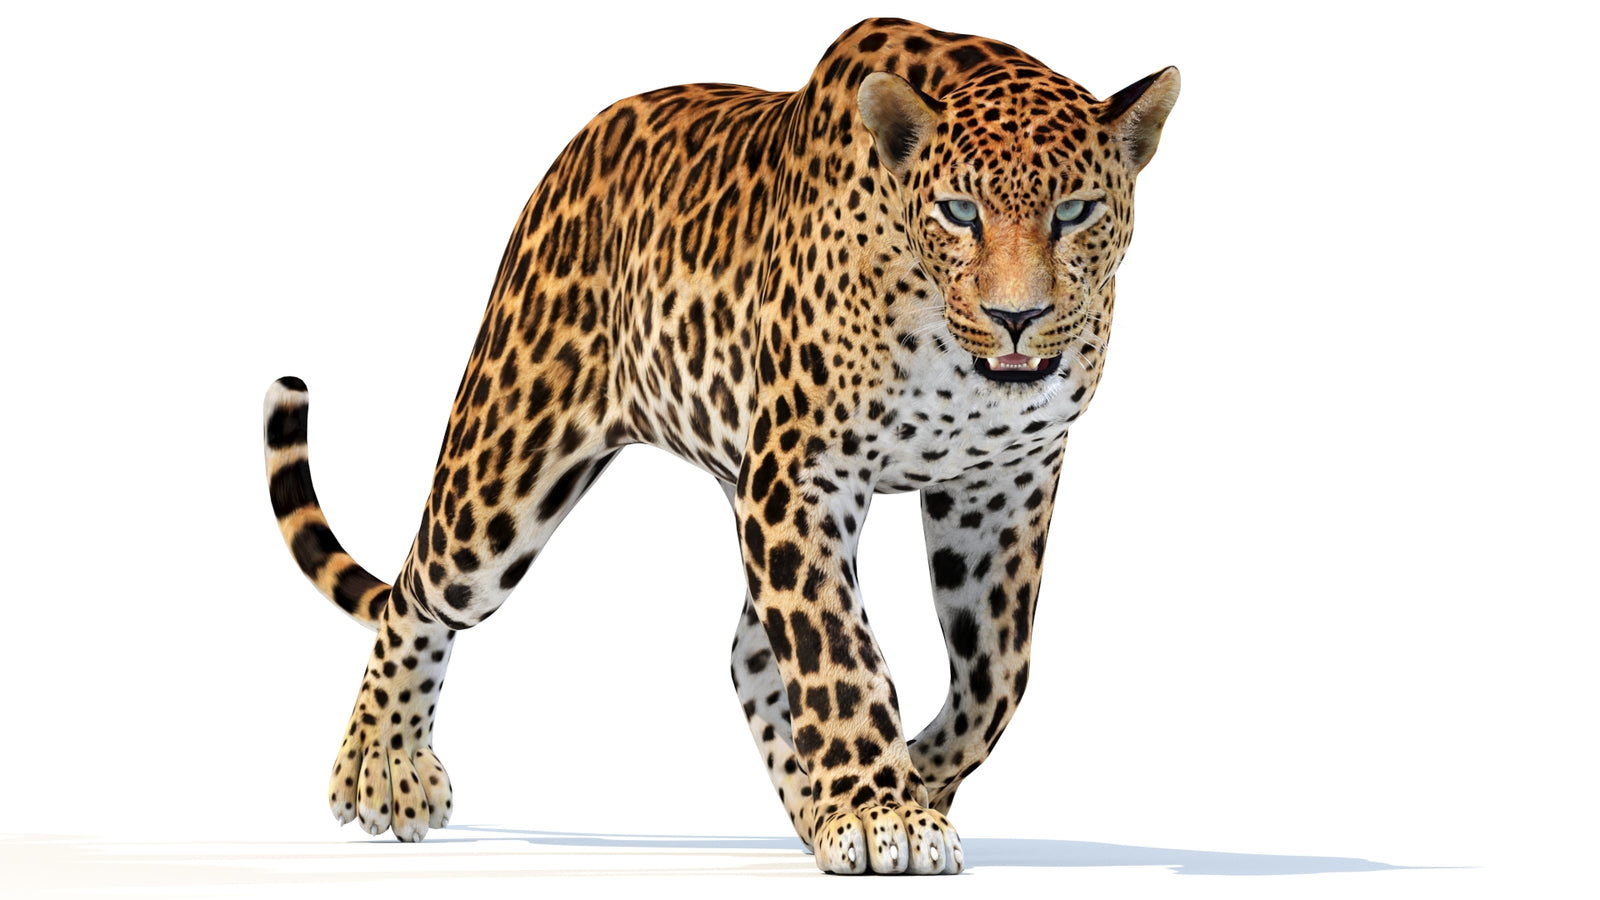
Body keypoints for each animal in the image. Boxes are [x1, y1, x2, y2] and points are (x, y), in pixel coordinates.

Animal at [262, 17, 1178, 875]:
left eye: (1074, 213)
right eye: (960, 211)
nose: (1016, 317)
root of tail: (577, 147)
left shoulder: (1001, 481)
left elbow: (997, 672)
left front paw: (904, 782)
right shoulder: (801, 471)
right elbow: (838, 651)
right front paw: (881, 808)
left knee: (748, 652)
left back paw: (810, 799)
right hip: (505, 466)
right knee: (418, 589)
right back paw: (383, 766)